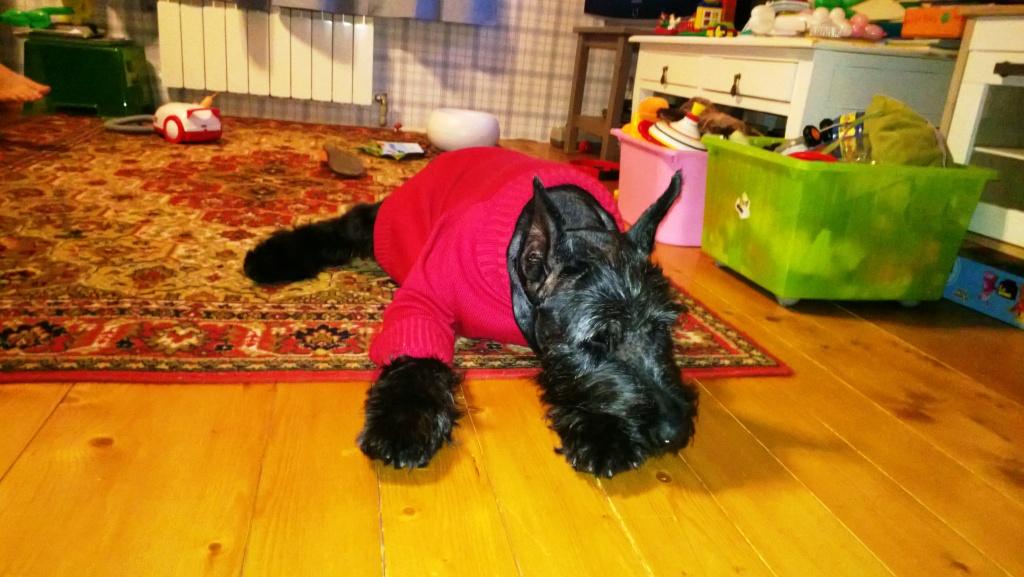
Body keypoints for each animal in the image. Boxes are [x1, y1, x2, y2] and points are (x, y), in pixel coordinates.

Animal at [243, 147, 698, 477]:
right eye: (596, 340)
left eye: (663, 329)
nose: (674, 432)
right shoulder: (423, 301)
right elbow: (416, 358)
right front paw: (404, 423)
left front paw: (601, 430)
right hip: (385, 225)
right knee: (346, 224)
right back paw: (268, 258)